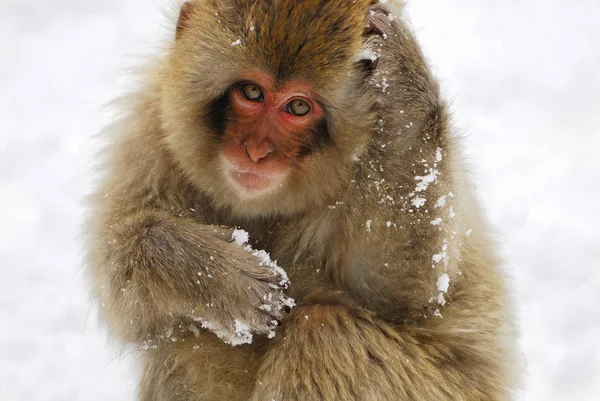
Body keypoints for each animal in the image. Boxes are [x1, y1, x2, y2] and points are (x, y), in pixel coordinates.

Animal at [85, 0, 520, 400]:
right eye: (251, 92)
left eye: (297, 106)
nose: (256, 151)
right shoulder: (151, 137)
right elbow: (120, 276)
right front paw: (222, 279)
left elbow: (401, 291)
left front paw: (404, 81)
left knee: (324, 333)